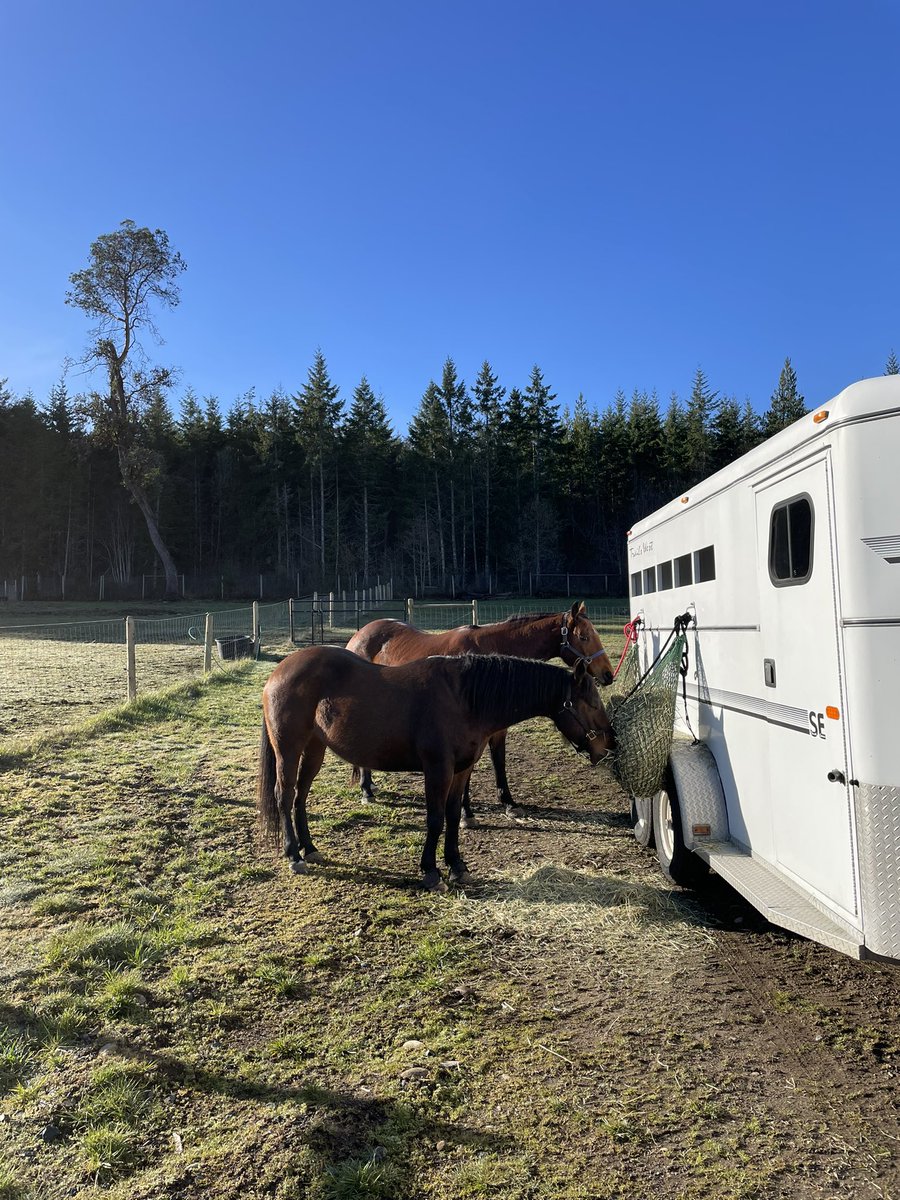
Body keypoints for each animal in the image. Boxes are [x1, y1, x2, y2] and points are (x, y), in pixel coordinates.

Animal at [256, 648, 619, 892]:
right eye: (591, 703)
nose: (610, 745)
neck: (464, 698)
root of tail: (278, 672)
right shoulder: (437, 769)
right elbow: (434, 819)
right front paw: (431, 872)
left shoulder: (460, 771)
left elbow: (453, 816)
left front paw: (457, 866)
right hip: (289, 749)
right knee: (284, 795)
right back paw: (294, 854)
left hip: (315, 748)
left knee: (300, 796)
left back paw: (310, 848)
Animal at [340, 604, 619, 820]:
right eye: (583, 636)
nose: (608, 674)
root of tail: (359, 634)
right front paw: (466, 812)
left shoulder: (498, 727)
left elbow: (499, 761)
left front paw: (508, 803)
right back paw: (366, 790)